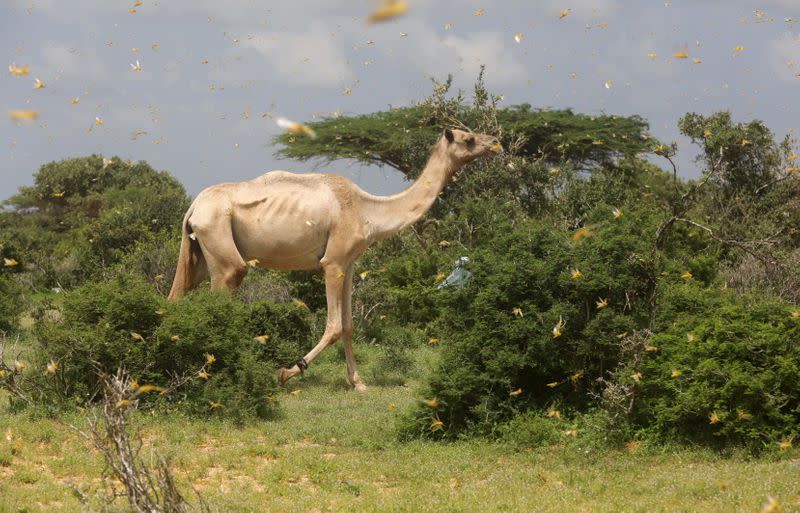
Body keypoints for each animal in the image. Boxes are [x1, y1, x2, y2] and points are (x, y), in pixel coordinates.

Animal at [170, 127, 500, 388]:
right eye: (468, 138)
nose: (496, 141)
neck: (368, 211)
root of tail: (194, 207)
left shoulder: (350, 264)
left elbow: (350, 326)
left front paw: (358, 382)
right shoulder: (332, 262)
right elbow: (334, 327)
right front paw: (286, 372)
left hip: (199, 255)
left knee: (175, 296)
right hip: (223, 254)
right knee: (219, 296)